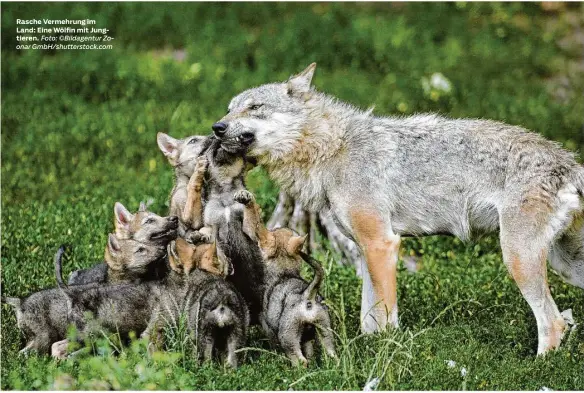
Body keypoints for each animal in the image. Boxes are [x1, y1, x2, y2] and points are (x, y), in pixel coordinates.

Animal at [212, 62, 580, 354]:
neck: (333, 148)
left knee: (553, 322)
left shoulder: (382, 244)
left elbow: (385, 320)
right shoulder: (365, 250)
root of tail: (570, 164)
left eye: (254, 107)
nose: (216, 127)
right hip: (565, 267)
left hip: (519, 260)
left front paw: (382, 355)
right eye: (229, 109)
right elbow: (368, 319)